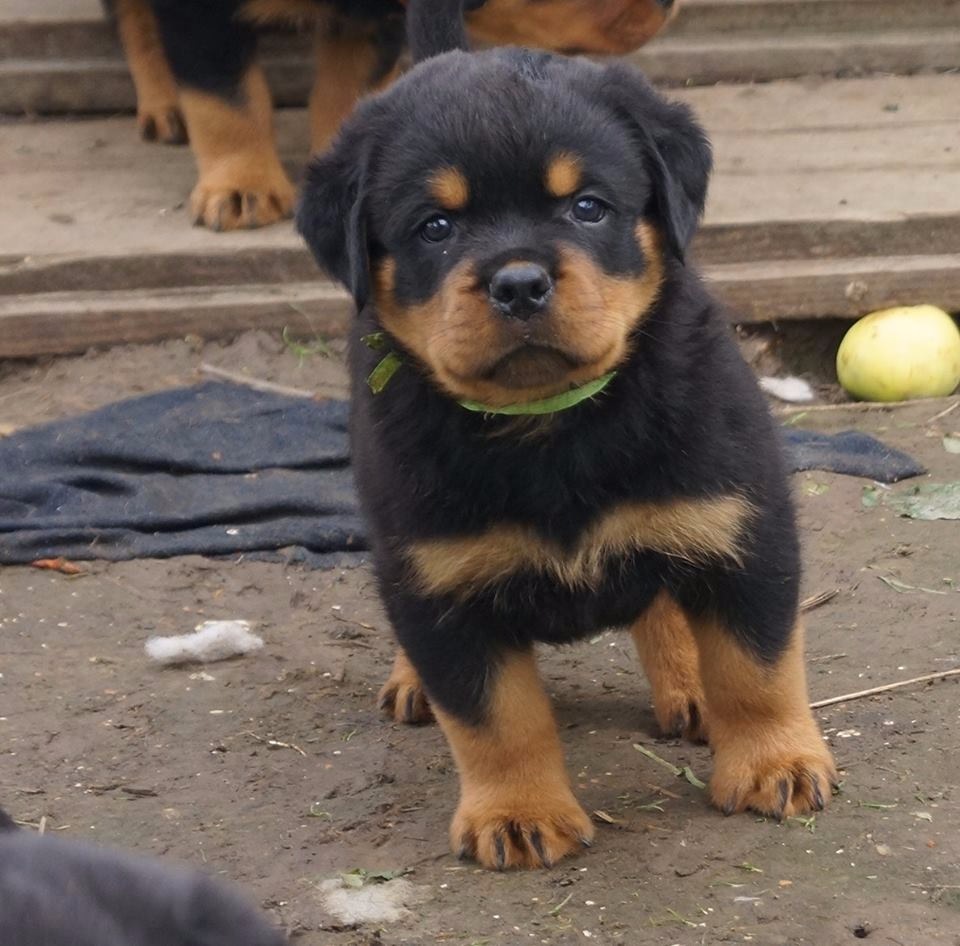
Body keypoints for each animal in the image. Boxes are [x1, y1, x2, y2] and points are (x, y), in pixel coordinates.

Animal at [110, 0, 676, 229]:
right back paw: (161, 106)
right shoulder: (199, 15)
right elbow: (225, 98)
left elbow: (347, 87)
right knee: (132, 19)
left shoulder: (371, 23)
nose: (669, 3)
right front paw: (240, 188)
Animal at [296, 48, 836, 868]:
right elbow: (494, 719)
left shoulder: (743, 525)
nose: (519, 282)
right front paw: (517, 813)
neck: (549, 425)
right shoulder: (436, 580)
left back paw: (689, 682)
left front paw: (776, 763)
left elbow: (756, 668)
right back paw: (411, 681)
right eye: (435, 227)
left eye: (587, 207)